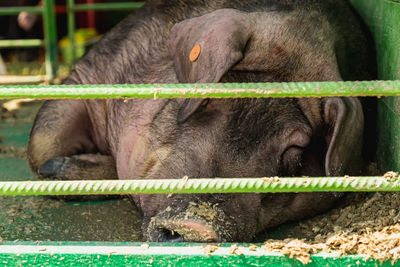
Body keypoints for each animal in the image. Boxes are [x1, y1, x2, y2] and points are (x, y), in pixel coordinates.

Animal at [28, 0, 376, 243]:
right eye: (208, 100)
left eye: (295, 151)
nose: (196, 224)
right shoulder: (91, 73)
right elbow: (40, 145)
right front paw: (54, 169)